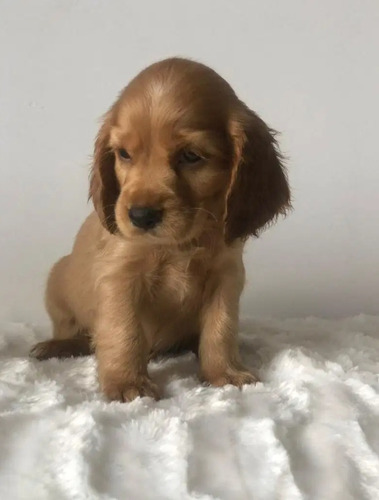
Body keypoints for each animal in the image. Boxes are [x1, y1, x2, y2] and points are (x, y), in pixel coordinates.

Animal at [31, 58, 292, 402]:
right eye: (124, 154)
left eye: (191, 156)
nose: (140, 215)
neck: (179, 244)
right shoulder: (121, 276)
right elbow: (124, 330)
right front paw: (127, 383)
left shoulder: (226, 275)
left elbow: (221, 327)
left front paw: (225, 373)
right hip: (57, 282)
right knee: (78, 333)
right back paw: (56, 346)